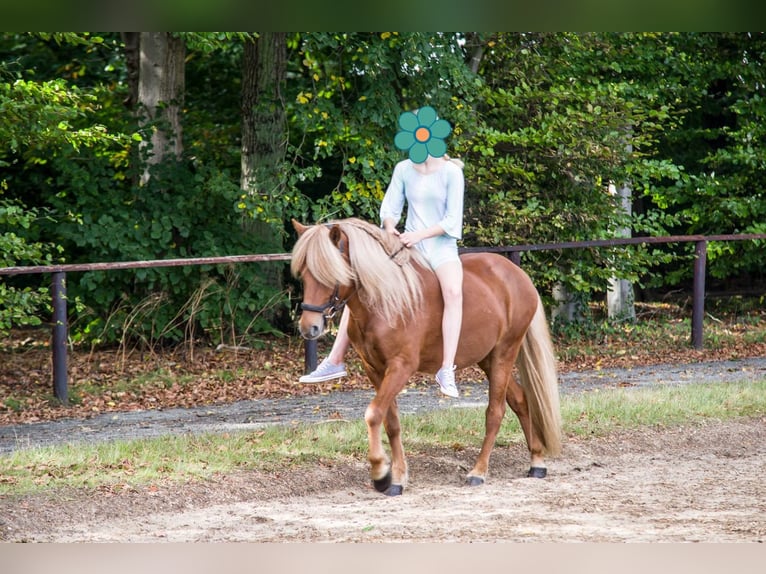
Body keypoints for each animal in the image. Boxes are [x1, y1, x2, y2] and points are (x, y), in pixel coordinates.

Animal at [290, 217, 562, 496]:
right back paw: (536, 461)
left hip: (504, 354)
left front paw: (380, 473)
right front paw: (397, 477)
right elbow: (391, 422)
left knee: (495, 413)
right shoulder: (375, 369)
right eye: (303, 273)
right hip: (488, 359)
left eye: (329, 273)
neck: (386, 302)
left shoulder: (401, 367)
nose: (309, 327)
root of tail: (518, 276)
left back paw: (479, 471)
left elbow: (373, 414)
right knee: (520, 400)